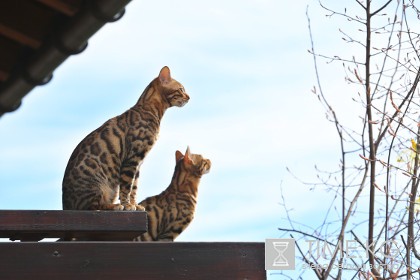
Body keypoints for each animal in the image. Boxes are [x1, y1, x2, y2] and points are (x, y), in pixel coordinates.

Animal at [61, 66, 189, 210]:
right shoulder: (132, 158)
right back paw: (115, 206)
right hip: (98, 185)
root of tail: (65, 205)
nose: (189, 97)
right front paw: (127, 205)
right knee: (93, 206)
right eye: (181, 89)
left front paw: (134, 204)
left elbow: (134, 187)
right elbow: (127, 187)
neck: (152, 111)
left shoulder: (138, 163)